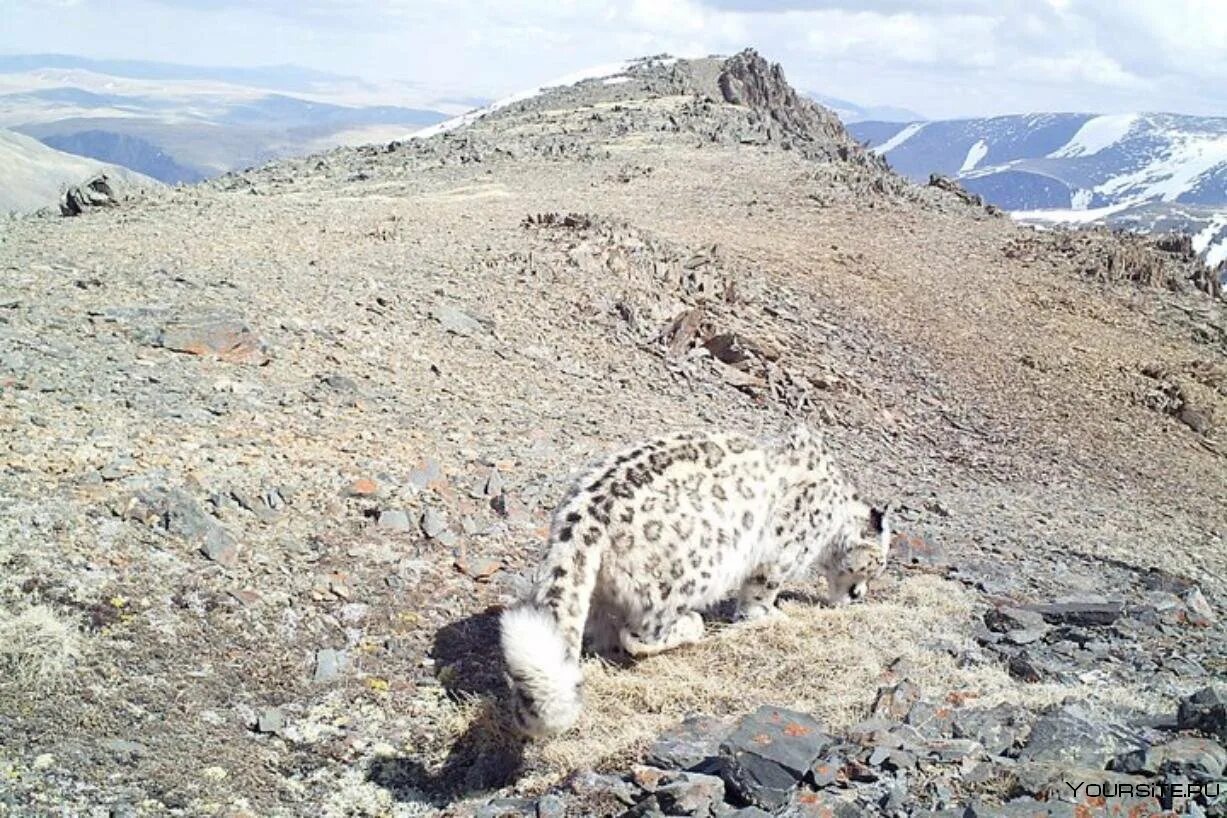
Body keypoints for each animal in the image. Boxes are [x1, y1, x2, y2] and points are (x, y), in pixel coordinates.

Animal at [498, 426, 893, 740]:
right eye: (878, 566)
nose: (860, 595)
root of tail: (583, 514)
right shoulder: (778, 554)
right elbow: (760, 594)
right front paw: (771, 616)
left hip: (597, 587)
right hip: (687, 573)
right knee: (640, 633)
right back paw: (690, 624)